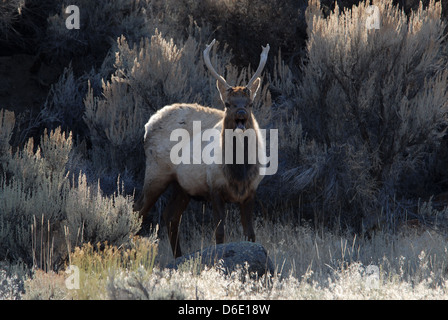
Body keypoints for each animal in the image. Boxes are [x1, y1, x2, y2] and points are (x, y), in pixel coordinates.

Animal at [136, 39, 270, 258]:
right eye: (227, 103)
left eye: (250, 103)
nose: (241, 113)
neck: (238, 172)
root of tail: (148, 125)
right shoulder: (214, 187)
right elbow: (220, 233)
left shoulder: (250, 192)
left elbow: (250, 234)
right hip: (156, 172)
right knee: (138, 210)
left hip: (182, 185)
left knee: (170, 216)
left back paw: (179, 256)